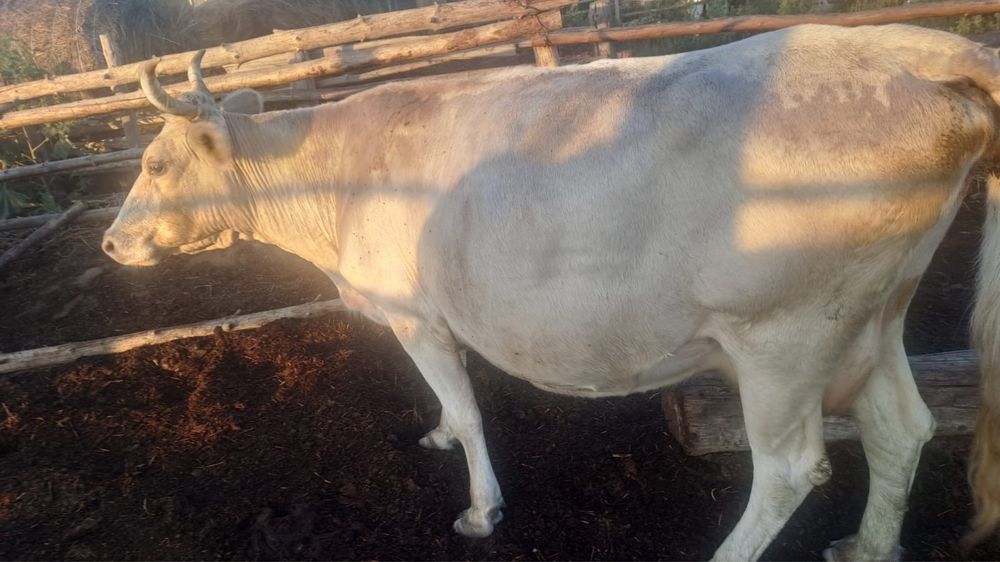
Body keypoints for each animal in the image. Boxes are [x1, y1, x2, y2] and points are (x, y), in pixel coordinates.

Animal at [102, 24, 1000, 560]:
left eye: (155, 163)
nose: (110, 242)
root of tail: (903, 46)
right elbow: (452, 407)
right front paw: (436, 436)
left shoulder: (414, 314)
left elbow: (469, 411)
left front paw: (480, 509)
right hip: (873, 316)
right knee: (901, 429)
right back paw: (867, 546)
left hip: (785, 335)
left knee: (791, 469)